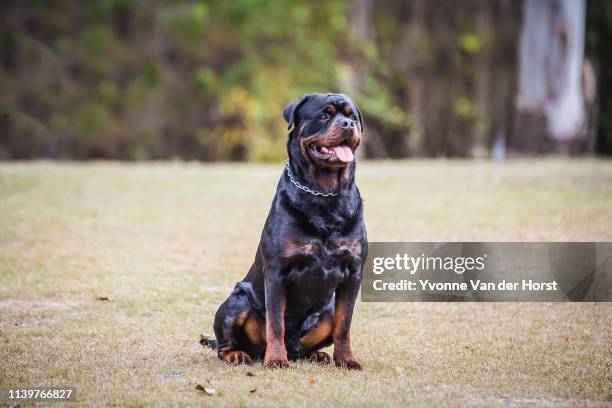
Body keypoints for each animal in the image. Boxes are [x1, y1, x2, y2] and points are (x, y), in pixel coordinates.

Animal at [201, 92, 366, 370]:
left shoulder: (352, 273)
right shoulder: (278, 271)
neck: (324, 194)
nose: (347, 124)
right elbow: (275, 323)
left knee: (310, 342)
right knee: (225, 345)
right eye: (324, 115)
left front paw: (346, 360)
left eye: (351, 116)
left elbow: (344, 325)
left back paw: (316, 355)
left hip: (327, 308)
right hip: (238, 301)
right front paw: (277, 360)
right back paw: (238, 354)